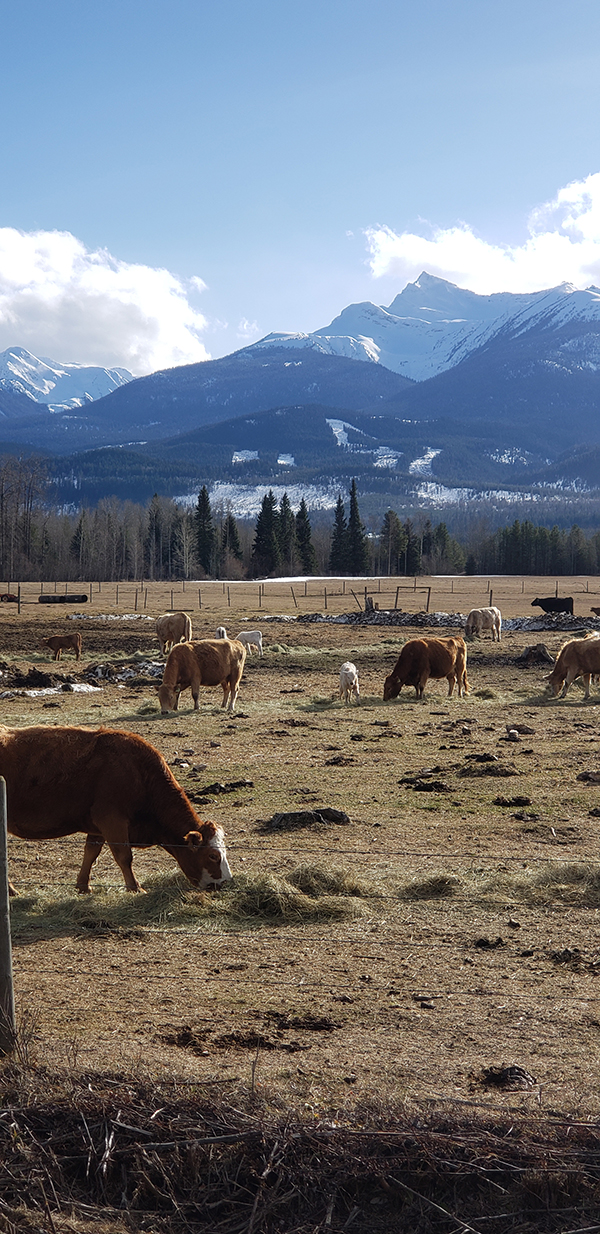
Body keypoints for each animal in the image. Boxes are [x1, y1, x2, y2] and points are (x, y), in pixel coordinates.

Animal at [0, 720, 232, 898]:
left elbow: (91, 852)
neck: (139, 773)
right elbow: (124, 855)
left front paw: (83, 886)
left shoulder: (97, 825)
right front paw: (135, 888)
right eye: (213, 855)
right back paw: (10, 890)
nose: (225, 883)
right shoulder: (112, 820)